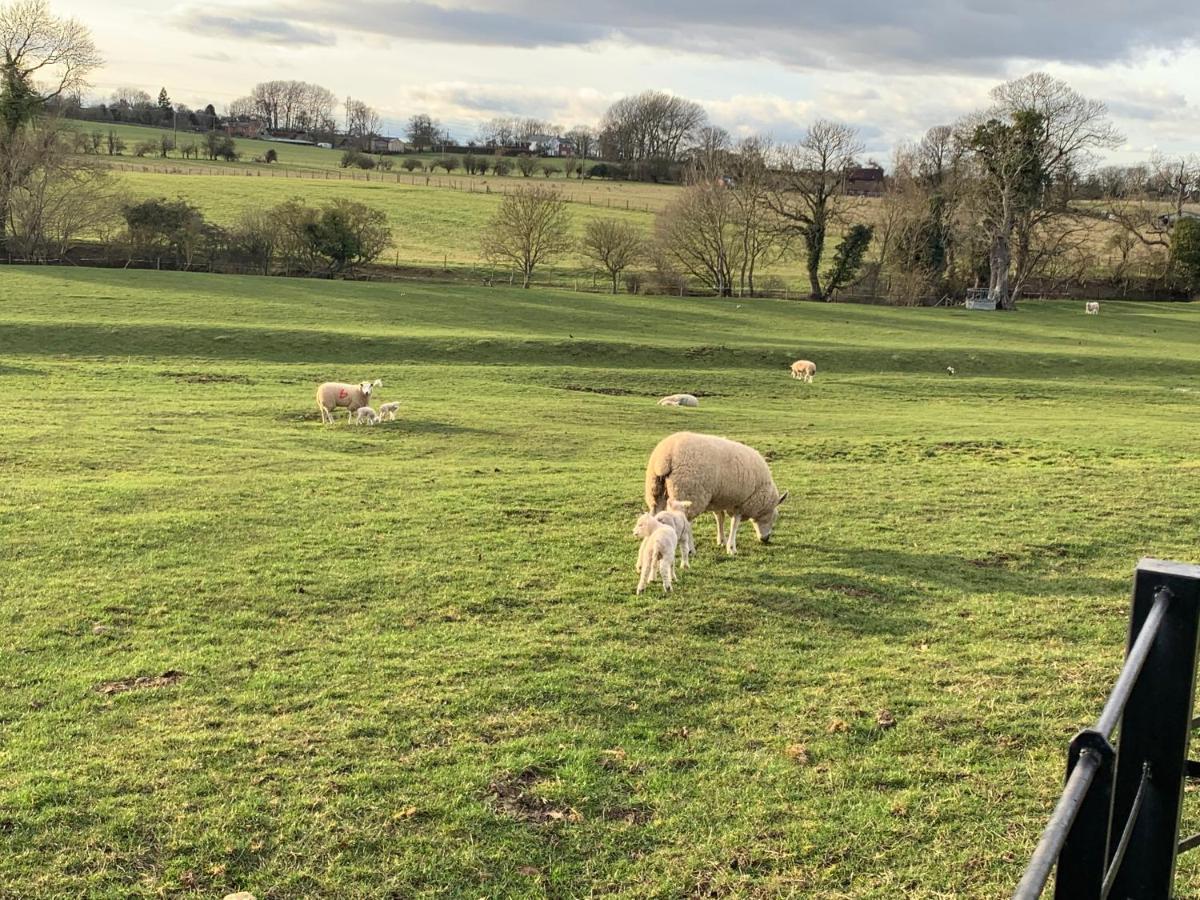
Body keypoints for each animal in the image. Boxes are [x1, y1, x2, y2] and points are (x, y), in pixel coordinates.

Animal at [648, 432, 787, 556]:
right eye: (774, 517)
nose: (766, 539)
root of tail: (665, 457)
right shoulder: (741, 503)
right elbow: (734, 524)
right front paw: (731, 548)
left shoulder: (719, 500)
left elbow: (720, 518)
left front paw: (721, 540)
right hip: (689, 494)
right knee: (686, 522)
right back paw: (691, 549)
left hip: (656, 491)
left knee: (655, 515)